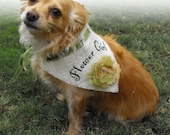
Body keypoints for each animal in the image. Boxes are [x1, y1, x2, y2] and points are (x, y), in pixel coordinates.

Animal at [18, 0, 159, 134]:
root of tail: (154, 105)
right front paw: (62, 97)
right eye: (32, 0)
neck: (65, 47)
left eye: (56, 12)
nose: (30, 15)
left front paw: (71, 132)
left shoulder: (77, 96)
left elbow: (73, 117)